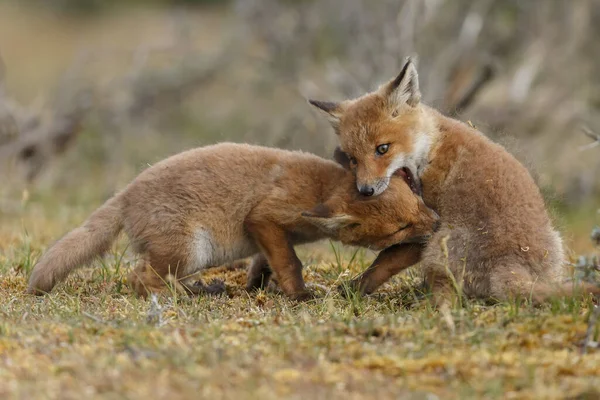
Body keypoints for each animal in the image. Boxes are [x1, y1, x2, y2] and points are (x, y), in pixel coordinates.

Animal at [27, 142, 440, 302]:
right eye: (400, 228)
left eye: (417, 202)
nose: (437, 224)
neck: (319, 187)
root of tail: (126, 192)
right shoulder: (265, 218)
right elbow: (289, 263)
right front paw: (299, 295)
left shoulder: (267, 237)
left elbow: (265, 265)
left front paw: (255, 288)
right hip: (189, 250)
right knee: (140, 278)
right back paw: (182, 296)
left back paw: (201, 289)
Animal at [312, 57, 596, 304]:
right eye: (353, 159)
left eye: (382, 149)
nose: (366, 190)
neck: (432, 148)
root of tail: (511, 262)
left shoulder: (426, 224)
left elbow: (385, 260)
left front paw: (356, 289)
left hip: (440, 245)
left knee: (449, 298)